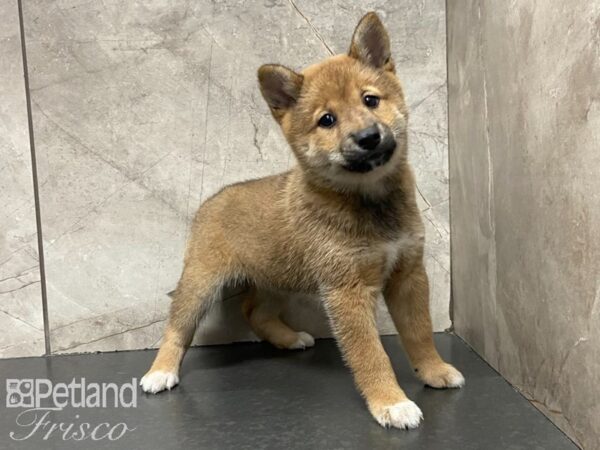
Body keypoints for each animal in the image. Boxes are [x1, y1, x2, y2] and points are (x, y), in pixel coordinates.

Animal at [142, 12, 464, 428]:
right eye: (326, 120)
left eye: (370, 100)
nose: (368, 137)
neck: (369, 201)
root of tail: (211, 201)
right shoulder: (347, 290)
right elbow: (371, 354)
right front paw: (390, 401)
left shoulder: (408, 275)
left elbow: (420, 332)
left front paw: (434, 370)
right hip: (201, 283)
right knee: (178, 327)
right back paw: (160, 371)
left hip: (277, 276)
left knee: (254, 311)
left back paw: (290, 338)